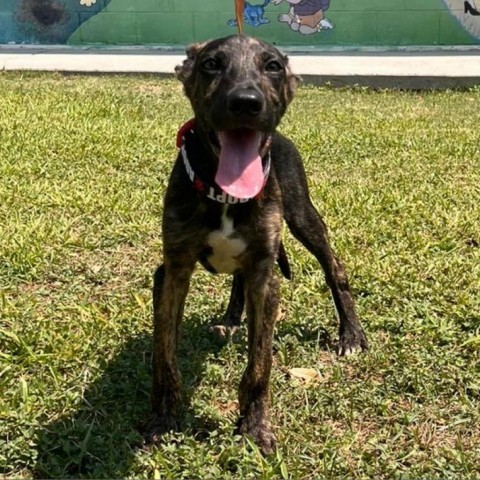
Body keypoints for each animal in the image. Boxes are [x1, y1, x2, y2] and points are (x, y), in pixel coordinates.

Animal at [144, 34, 370, 454]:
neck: (224, 192)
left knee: (334, 267)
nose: (246, 102)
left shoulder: (266, 278)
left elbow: (259, 365)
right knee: (238, 277)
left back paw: (351, 334)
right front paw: (164, 420)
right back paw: (232, 318)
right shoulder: (172, 270)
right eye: (211, 64)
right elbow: (164, 357)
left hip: (302, 215)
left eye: (273, 66)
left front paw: (253, 427)